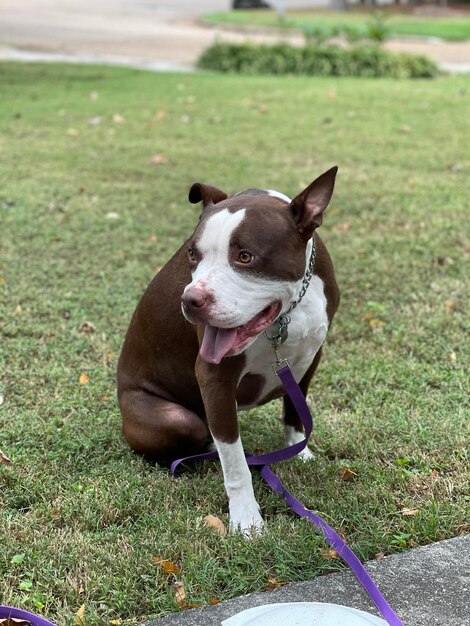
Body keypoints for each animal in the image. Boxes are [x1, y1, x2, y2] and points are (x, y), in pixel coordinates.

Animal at [116, 165, 338, 532]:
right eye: (192, 254)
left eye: (245, 256)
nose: (190, 300)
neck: (287, 311)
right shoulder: (214, 377)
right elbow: (234, 464)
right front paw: (246, 518)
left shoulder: (310, 356)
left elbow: (296, 408)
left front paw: (298, 450)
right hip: (174, 418)